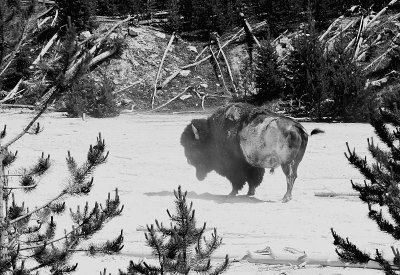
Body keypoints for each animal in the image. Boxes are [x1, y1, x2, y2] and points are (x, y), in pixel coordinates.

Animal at [180, 103, 324, 203]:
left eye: (192, 145)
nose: (188, 160)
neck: (212, 134)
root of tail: (297, 127)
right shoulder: (251, 164)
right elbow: (253, 178)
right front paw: (250, 192)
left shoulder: (235, 166)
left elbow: (238, 179)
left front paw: (232, 193)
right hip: (295, 162)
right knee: (294, 176)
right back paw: (287, 197)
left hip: (286, 163)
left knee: (290, 177)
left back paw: (285, 198)